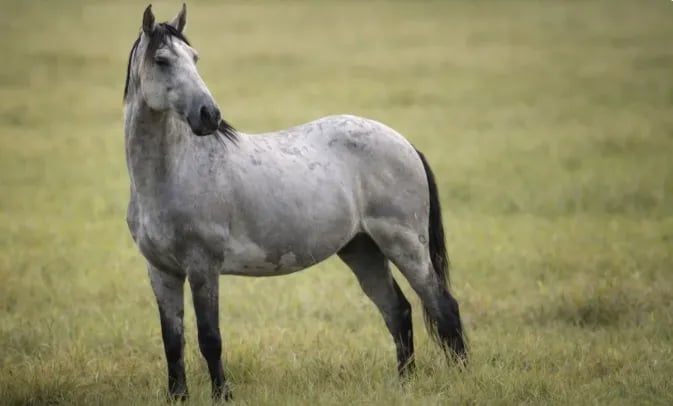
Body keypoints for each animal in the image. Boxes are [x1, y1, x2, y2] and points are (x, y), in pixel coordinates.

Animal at [124, 4, 467, 401]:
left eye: (194, 58)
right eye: (162, 60)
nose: (209, 115)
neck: (172, 173)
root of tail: (404, 142)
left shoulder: (203, 267)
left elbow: (210, 339)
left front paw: (223, 396)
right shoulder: (161, 271)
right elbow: (172, 341)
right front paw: (177, 397)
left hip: (406, 245)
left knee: (443, 307)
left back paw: (461, 378)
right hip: (362, 249)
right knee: (398, 311)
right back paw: (404, 384)